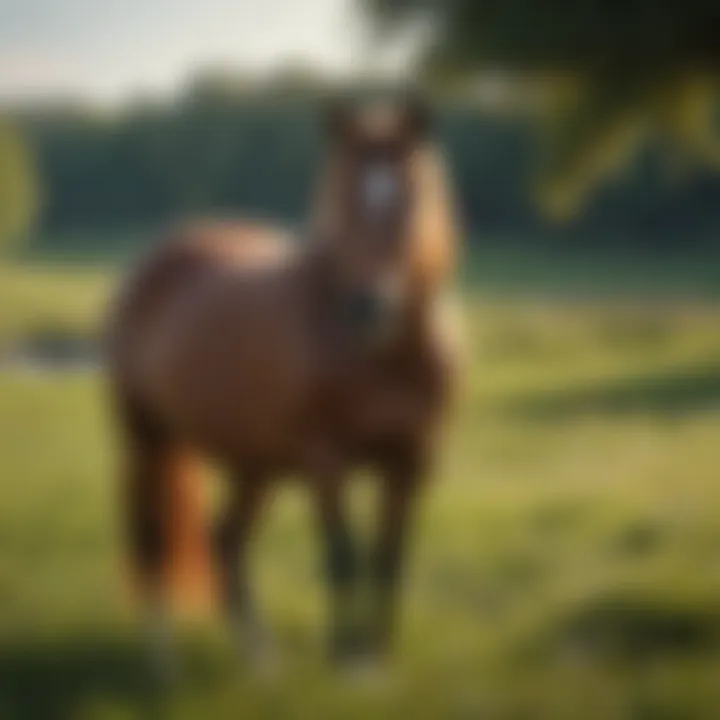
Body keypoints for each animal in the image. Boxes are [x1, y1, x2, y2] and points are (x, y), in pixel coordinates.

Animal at [107, 98, 458, 672]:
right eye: (342, 197)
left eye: (411, 195)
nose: (369, 308)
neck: (378, 356)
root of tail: (157, 261)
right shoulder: (325, 462)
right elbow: (342, 556)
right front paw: (349, 663)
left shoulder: (412, 461)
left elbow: (389, 558)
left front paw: (379, 657)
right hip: (148, 439)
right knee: (153, 542)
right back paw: (164, 665)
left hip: (255, 464)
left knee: (227, 540)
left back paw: (261, 659)